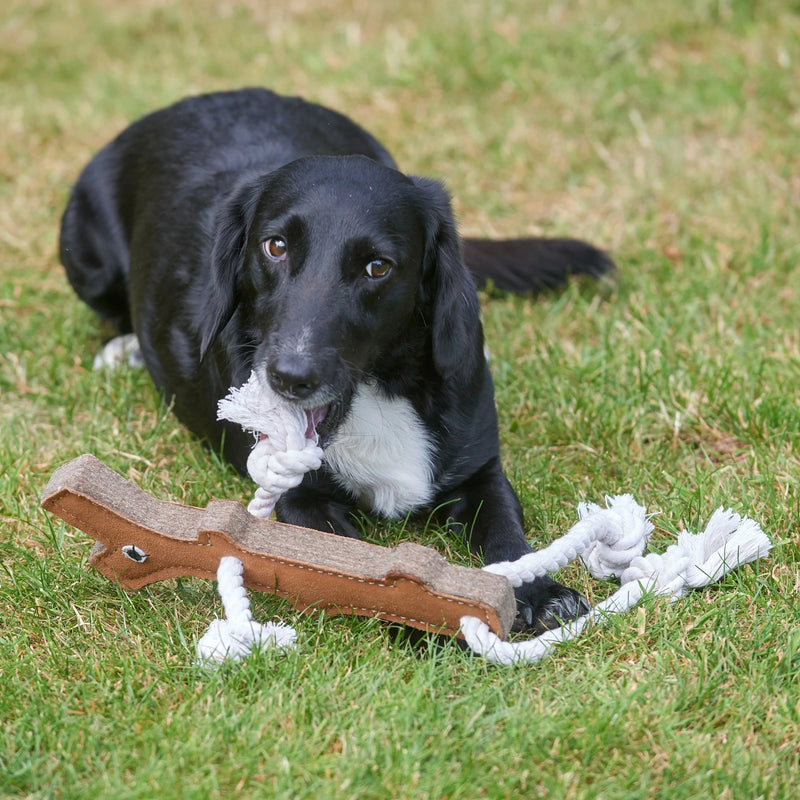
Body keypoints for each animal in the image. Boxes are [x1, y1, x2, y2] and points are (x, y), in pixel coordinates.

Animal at [61, 87, 612, 636]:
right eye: (275, 246)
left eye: (378, 267)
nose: (289, 378)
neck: (379, 390)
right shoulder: (301, 501)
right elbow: (361, 574)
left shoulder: (482, 474)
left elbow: (507, 538)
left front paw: (538, 592)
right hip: (85, 258)